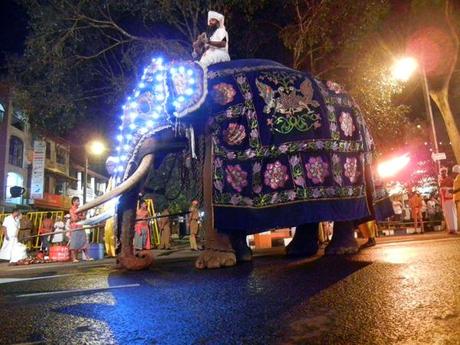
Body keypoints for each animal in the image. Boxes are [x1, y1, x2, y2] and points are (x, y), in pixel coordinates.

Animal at [78, 57, 388, 270]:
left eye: (143, 108)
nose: (143, 258)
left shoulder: (222, 126)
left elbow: (211, 183)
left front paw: (213, 264)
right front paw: (241, 257)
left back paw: (340, 251)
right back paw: (298, 251)